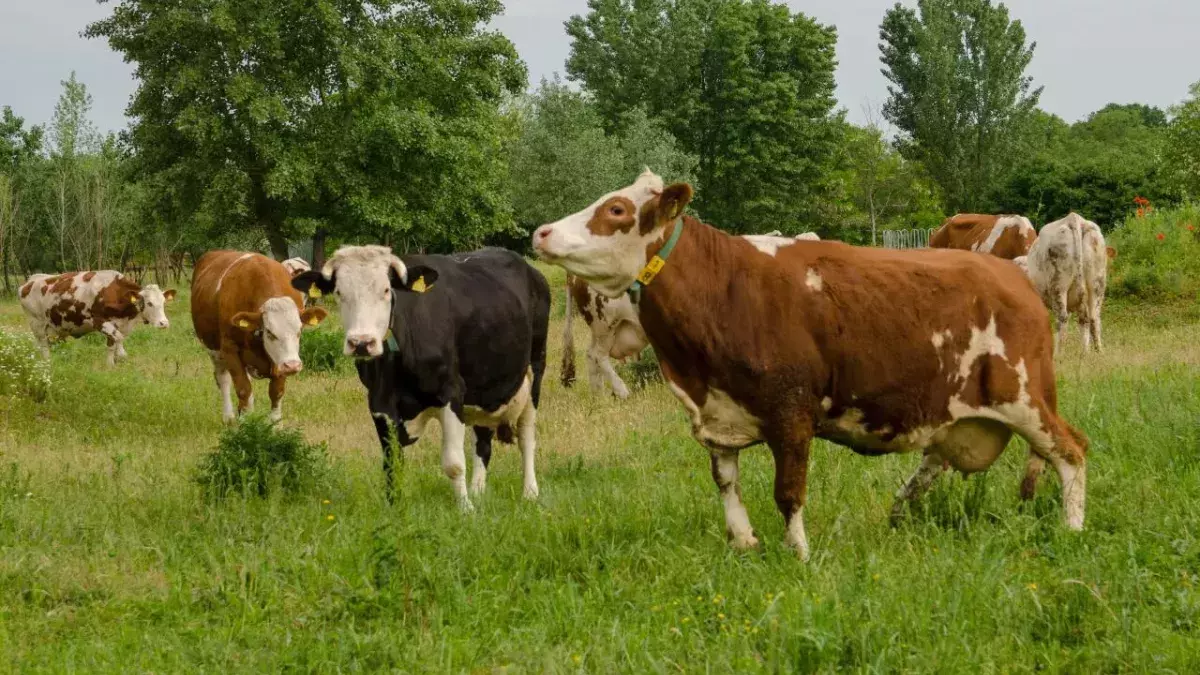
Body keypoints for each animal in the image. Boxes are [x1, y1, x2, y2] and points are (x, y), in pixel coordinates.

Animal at [19, 271, 176, 366]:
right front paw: (120, 356)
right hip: (37, 323)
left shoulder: (117, 324)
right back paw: (47, 362)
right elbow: (119, 338)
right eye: (149, 303)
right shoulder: (99, 322)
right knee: (43, 345)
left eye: (163, 302)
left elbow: (113, 343)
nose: (164, 323)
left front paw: (111, 364)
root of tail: (32, 280)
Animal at [191, 251, 329, 423]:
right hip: (214, 351)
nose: (292, 365)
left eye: (299, 331)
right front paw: (246, 425)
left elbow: (276, 392)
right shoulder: (229, 348)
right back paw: (229, 417)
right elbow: (243, 389)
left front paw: (275, 425)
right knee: (223, 379)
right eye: (269, 332)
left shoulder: (279, 361)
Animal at [291, 245, 551, 510]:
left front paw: (465, 509)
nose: (362, 343)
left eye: (386, 290)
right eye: (339, 292)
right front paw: (393, 507)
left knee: (527, 436)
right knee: (483, 441)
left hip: (535, 369)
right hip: (485, 385)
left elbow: (454, 463)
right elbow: (392, 462)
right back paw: (478, 491)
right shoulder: (379, 403)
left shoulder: (452, 392)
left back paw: (530, 492)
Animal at [1012, 213, 1116, 353]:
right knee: (1093, 318)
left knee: (1062, 318)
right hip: (1097, 283)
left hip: (1058, 284)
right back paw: (1094, 352)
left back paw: (1059, 353)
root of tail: (1074, 218)